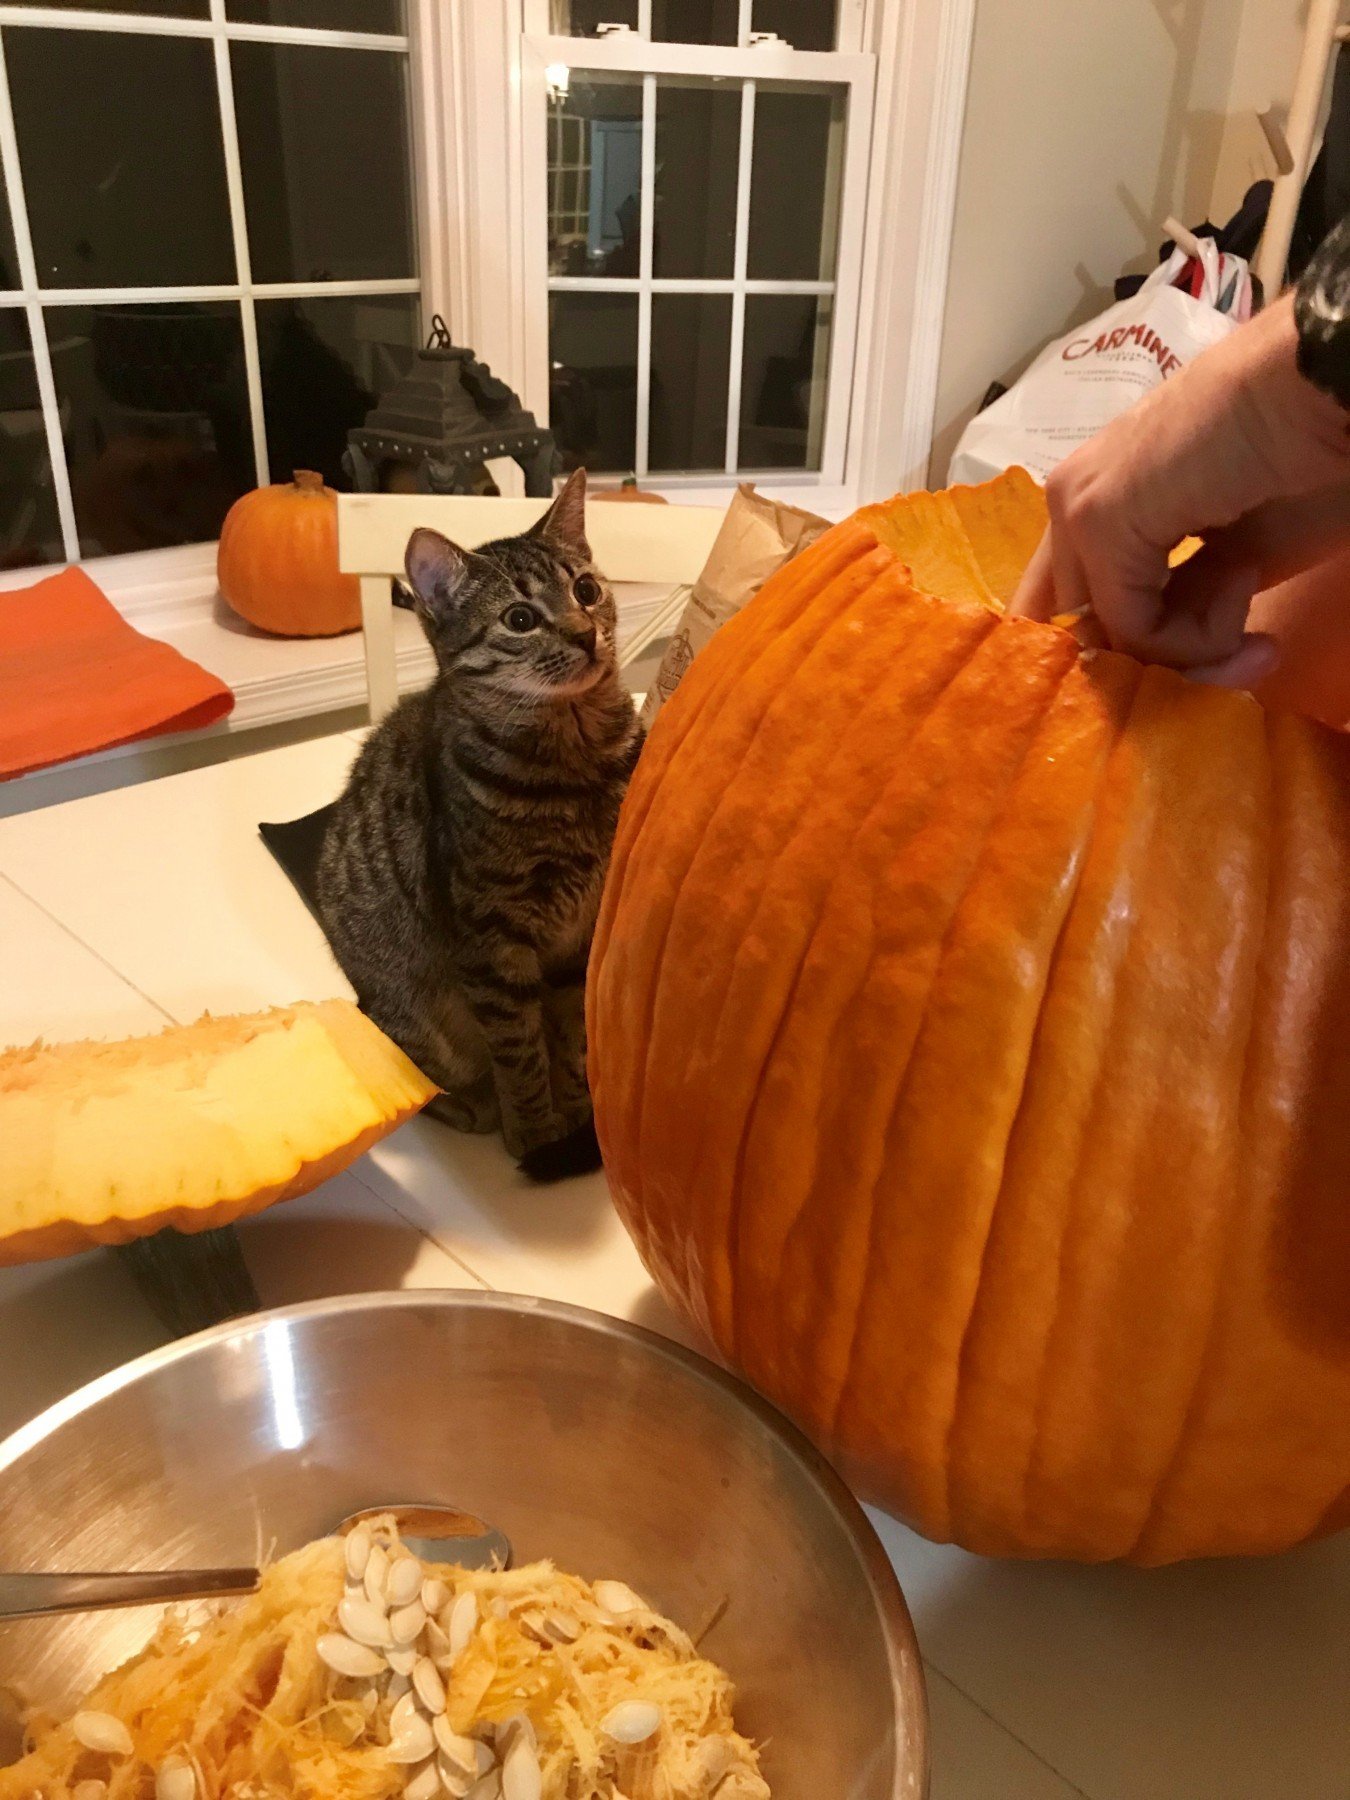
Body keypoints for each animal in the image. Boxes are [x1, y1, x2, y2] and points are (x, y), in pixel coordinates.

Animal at [316, 471, 644, 1188]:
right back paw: (472, 1104)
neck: (576, 766)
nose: (586, 634)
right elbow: (518, 1051)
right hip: (412, 1009)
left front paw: (573, 1109)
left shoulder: (581, 939)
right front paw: (536, 1130)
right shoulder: (490, 941)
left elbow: (569, 1039)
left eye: (586, 589)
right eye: (519, 620)